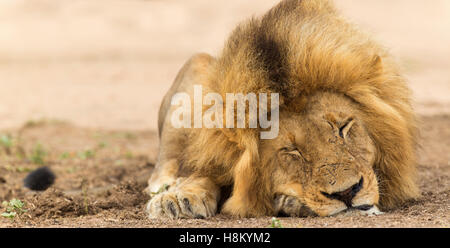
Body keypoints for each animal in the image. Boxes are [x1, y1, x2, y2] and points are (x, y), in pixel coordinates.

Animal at [144, 0, 418, 218]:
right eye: (291, 150)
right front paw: (178, 200)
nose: (347, 192)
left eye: (343, 127)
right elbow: (203, 170)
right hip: (197, 66)